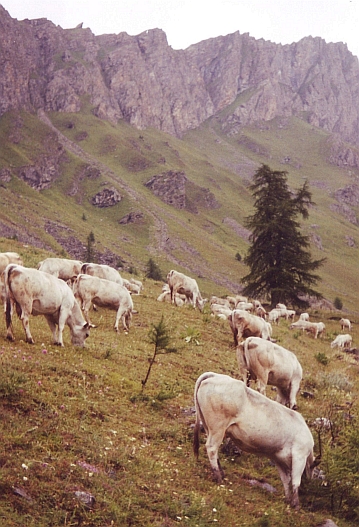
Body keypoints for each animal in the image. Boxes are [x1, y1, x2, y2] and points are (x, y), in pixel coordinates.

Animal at [193, 374, 320, 510]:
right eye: (312, 469)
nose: (310, 481)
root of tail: (214, 375)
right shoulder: (299, 455)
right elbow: (296, 481)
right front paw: (296, 504)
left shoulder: (278, 458)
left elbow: (286, 480)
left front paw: (287, 499)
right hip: (218, 427)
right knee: (212, 448)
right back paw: (218, 477)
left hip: (209, 427)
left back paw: (221, 473)